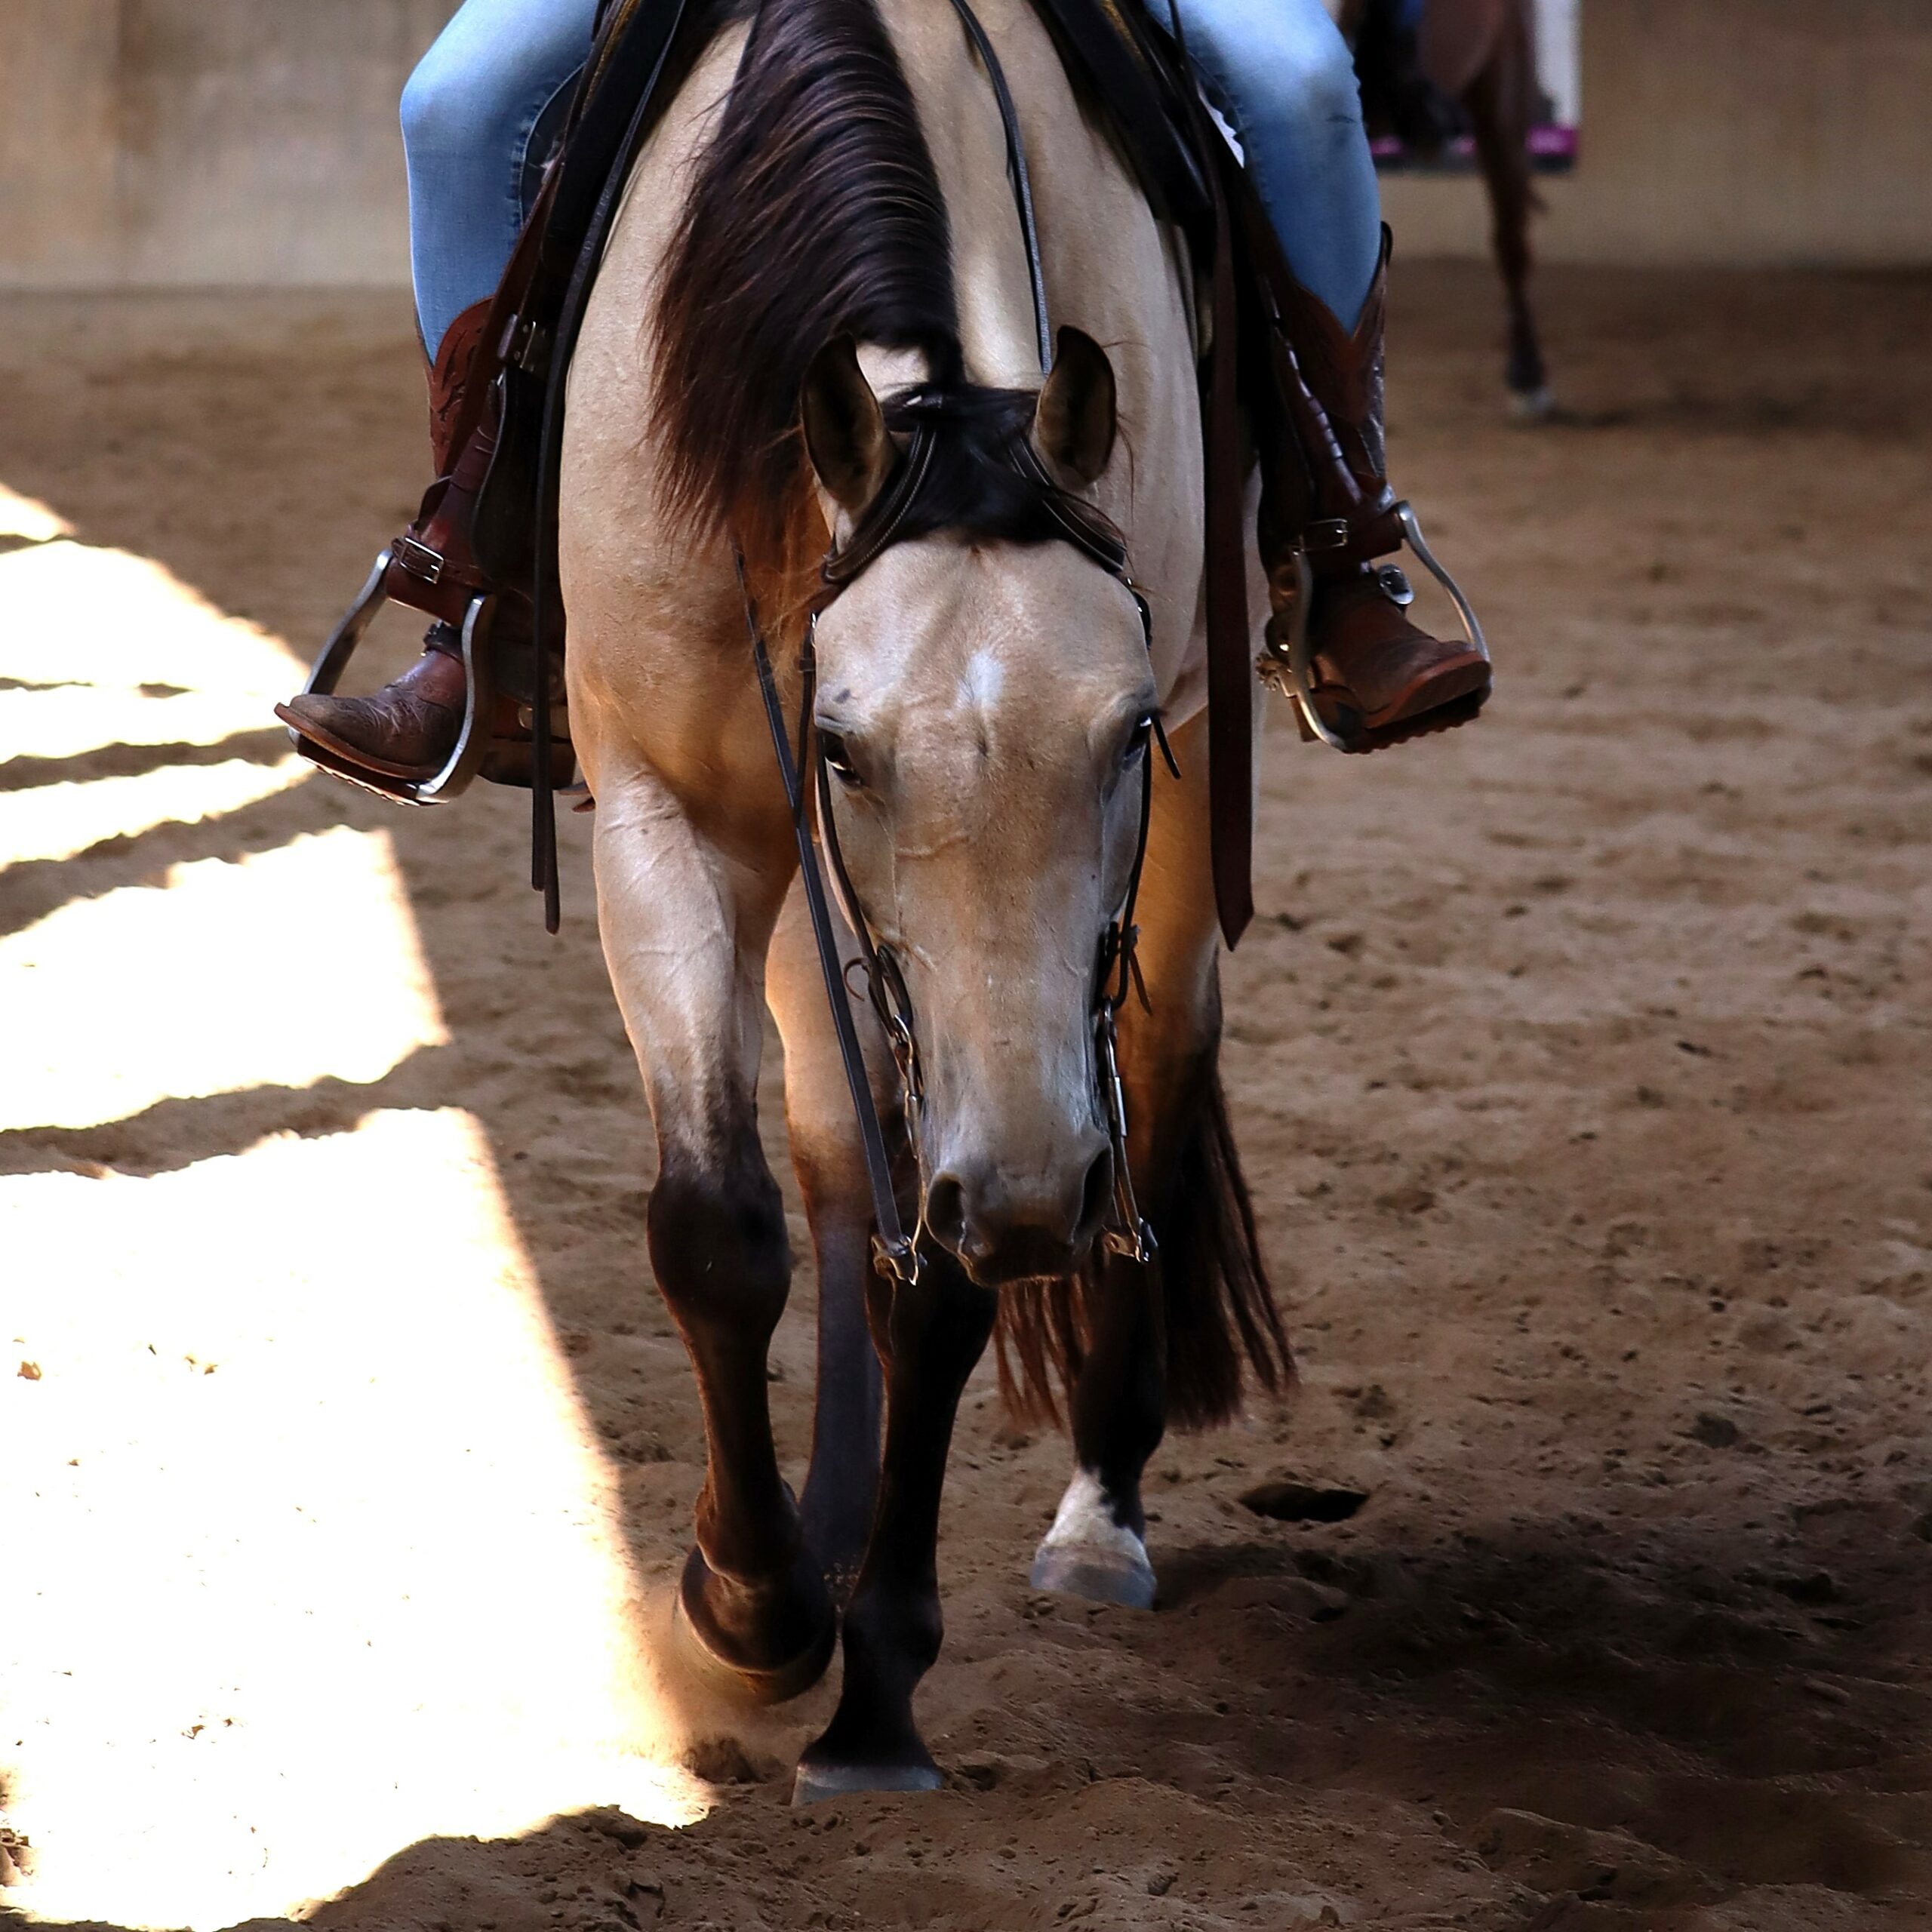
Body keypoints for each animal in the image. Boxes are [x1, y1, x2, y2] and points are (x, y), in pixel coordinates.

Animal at [558, 0, 1289, 1797]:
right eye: (845, 742)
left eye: (1119, 736)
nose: (1029, 1188)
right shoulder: (668, 809)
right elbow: (720, 1224)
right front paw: (753, 1603)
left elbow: (944, 1275)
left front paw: (875, 1680)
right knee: (833, 1162)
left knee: (1149, 1075)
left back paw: (1097, 1515)